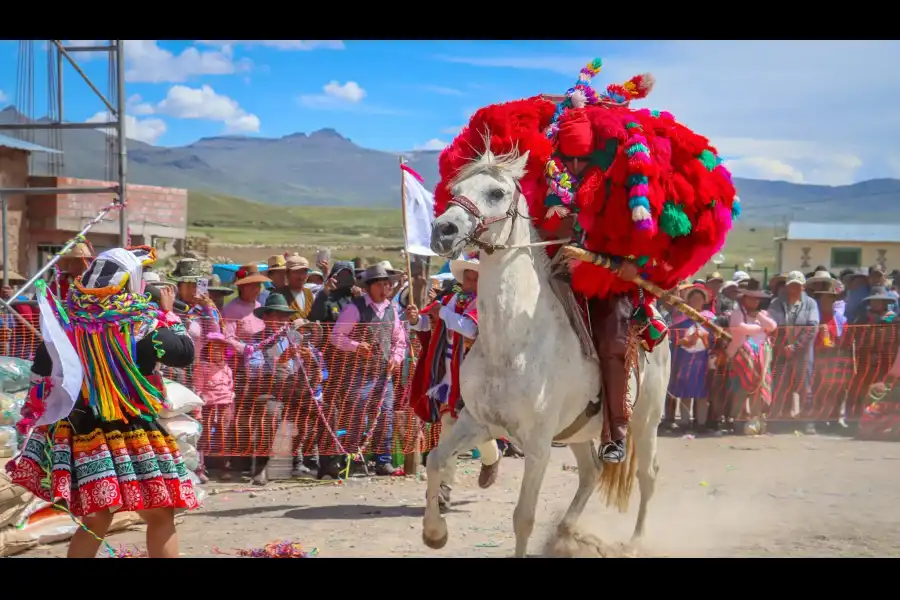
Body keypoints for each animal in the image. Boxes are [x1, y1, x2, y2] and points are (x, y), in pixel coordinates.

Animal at [420, 146, 668, 556]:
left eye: (496, 192)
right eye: (455, 189)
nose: (443, 230)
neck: (511, 341)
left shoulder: (537, 446)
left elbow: (523, 517)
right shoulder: (478, 421)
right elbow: (436, 459)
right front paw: (434, 532)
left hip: (646, 421)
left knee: (647, 477)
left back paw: (635, 541)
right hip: (578, 433)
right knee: (591, 472)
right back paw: (566, 531)